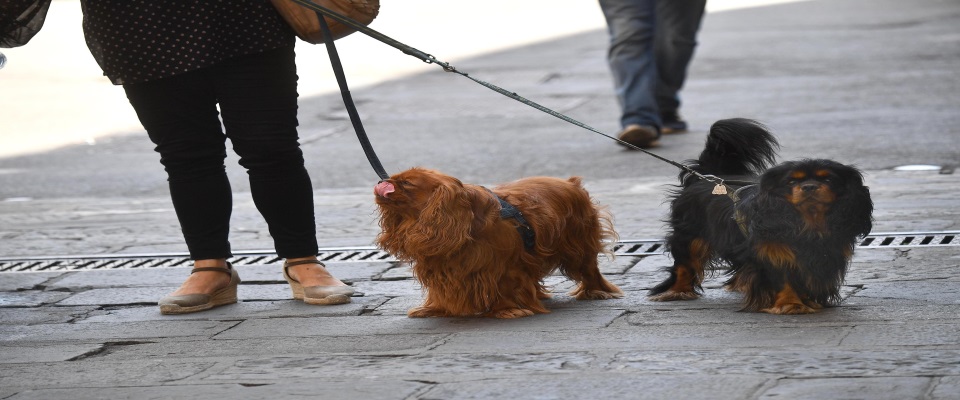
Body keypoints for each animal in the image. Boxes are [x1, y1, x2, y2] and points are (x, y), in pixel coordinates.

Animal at [376, 168, 624, 318]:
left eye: (406, 183)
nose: (382, 181)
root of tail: (571, 183)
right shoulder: (442, 267)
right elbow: (439, 291)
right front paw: (434, 309)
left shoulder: (504, 266)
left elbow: (504, 286)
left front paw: (509, 310)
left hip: (578, 247)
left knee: (590, 269)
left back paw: (597, 291)